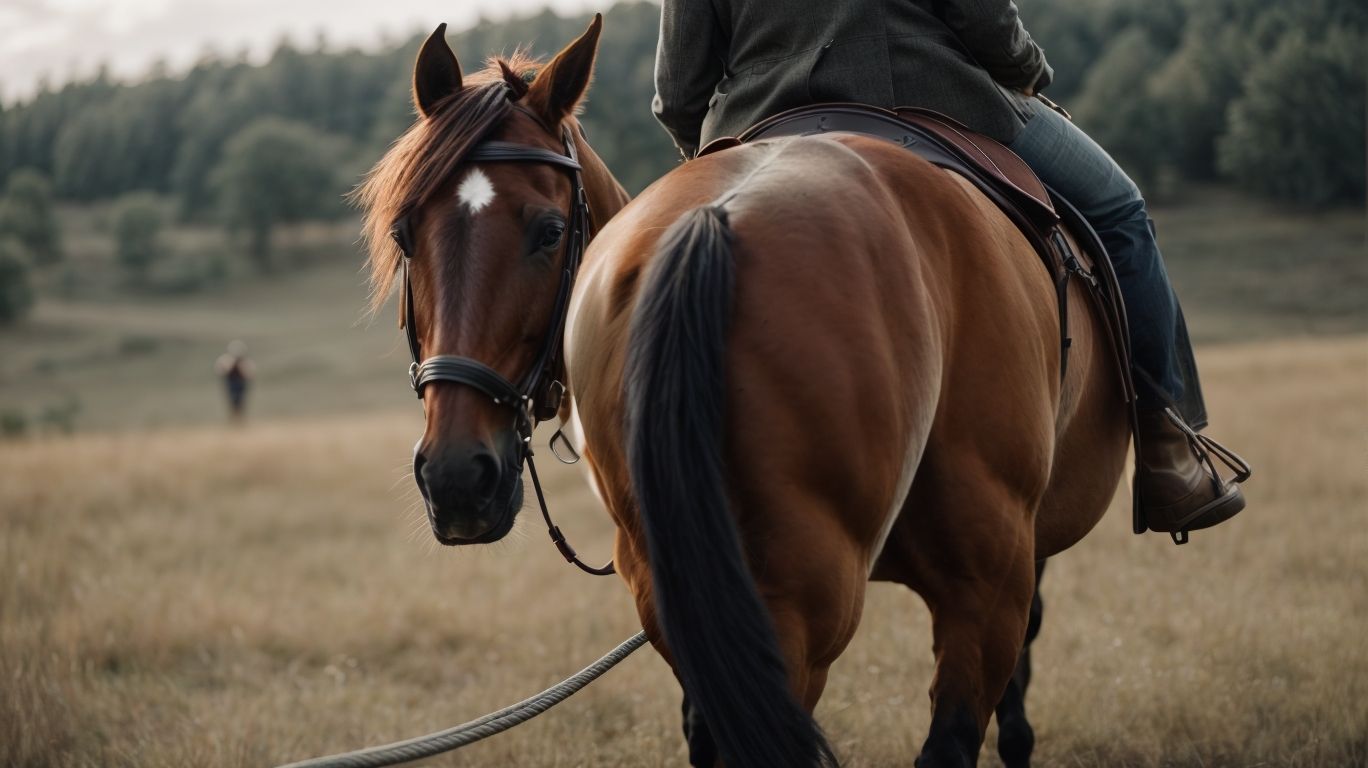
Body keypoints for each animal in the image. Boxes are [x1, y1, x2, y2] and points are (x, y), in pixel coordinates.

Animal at [355, 16, 1130, 768]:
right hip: (881, 592)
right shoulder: (999, 573)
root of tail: (715, 217)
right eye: (406, 236)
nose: (457, 478)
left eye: (549, 233)